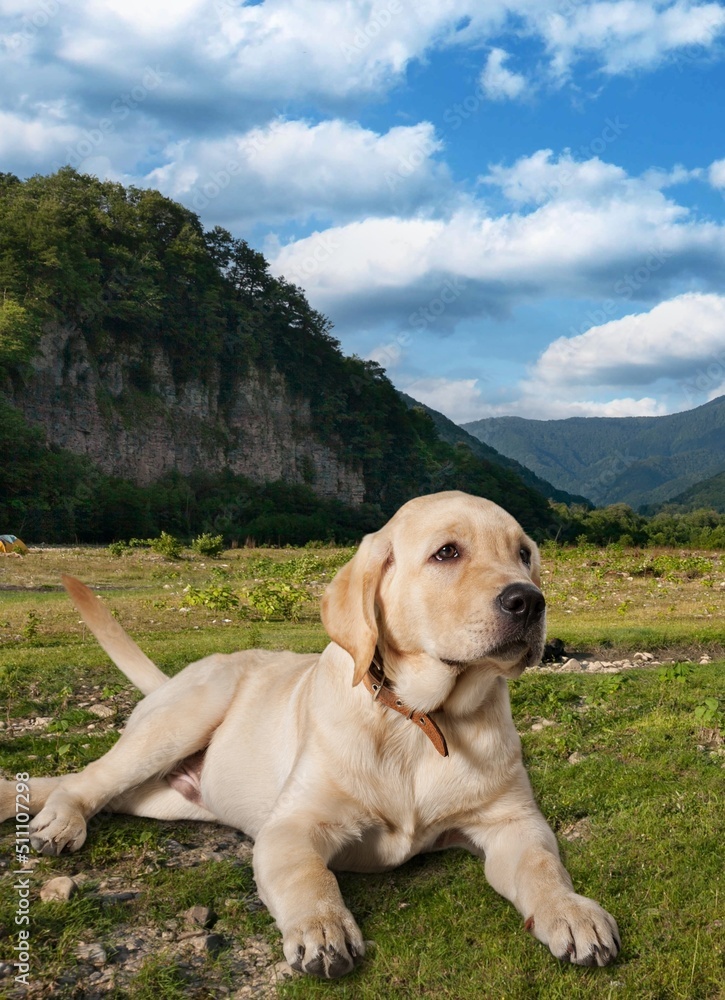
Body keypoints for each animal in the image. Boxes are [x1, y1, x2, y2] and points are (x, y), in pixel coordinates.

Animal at [2, 492, 620, 976]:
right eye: (447, 552)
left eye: (525, 554)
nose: (529, 600)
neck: (421, 719)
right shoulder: (293, 827)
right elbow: (309, 878)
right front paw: (322, 930)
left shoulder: (512, 822)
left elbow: (542, 867)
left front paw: (571, 911)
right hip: (183, 718)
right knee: (87, 779)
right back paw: (59, 822)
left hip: (162, 798)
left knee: (86, 785)